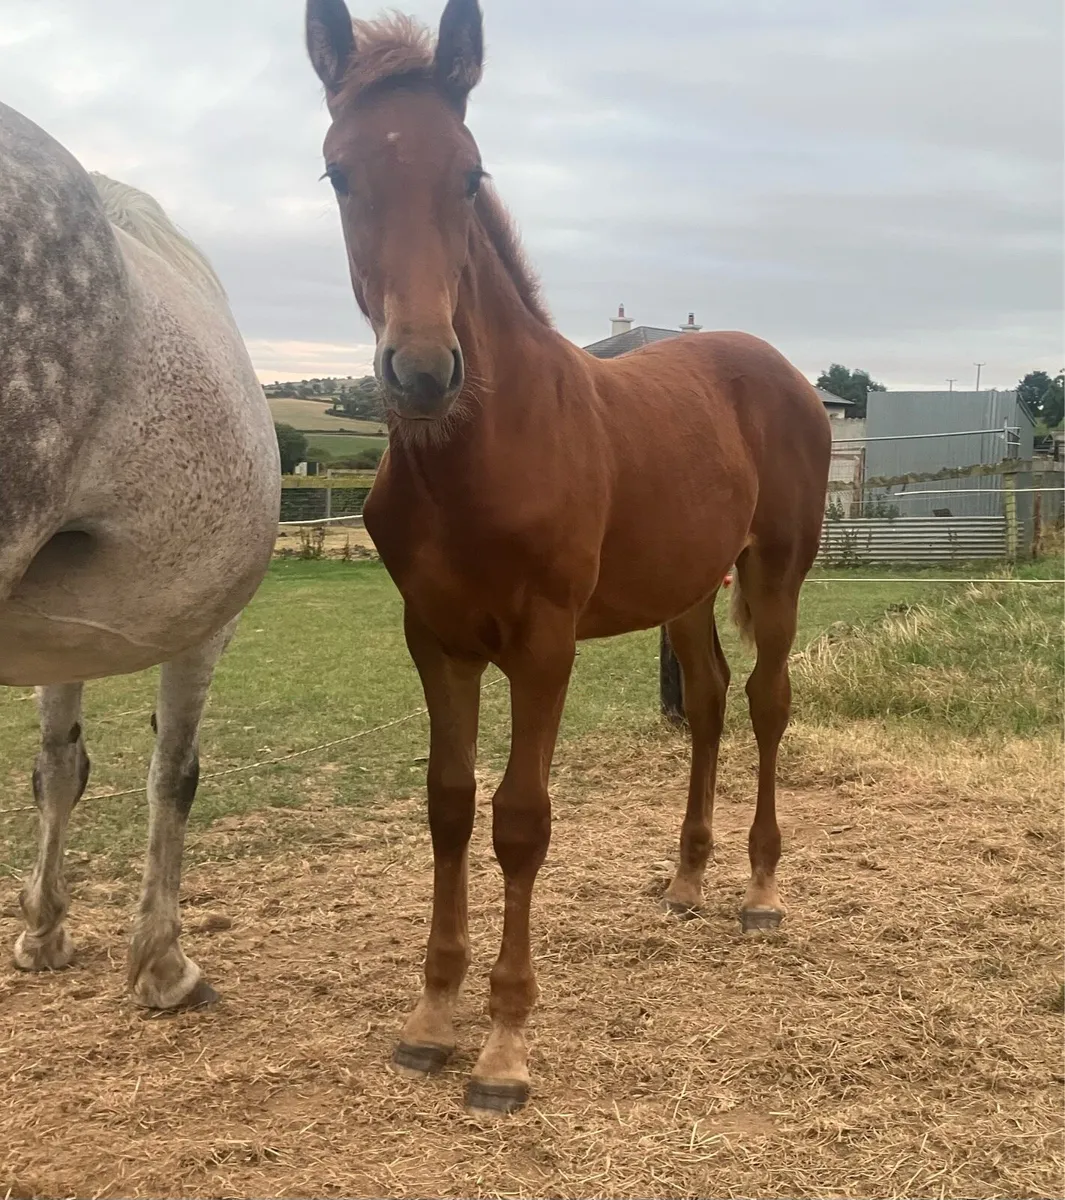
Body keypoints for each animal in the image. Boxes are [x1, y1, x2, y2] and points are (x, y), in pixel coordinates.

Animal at [1, 102, 281, 1010]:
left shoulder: (64, 640)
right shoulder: (206, 630)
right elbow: (174, 774)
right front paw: (163, 963)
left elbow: (59, 767)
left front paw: (43, 932)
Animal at [305, 0, 832, 1114]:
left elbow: (520, 820)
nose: (422, 371)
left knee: (766, 702)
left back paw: (760, 889)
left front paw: (504, 1047)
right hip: (685, 585)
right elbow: (449, 807)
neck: (480, 450)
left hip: (776, 572)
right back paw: (686, 880)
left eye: (469, 173)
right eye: (338, 173)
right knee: (709, 702)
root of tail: (779, 367)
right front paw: (430, 1020)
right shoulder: (435, 640)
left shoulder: (544, 644)